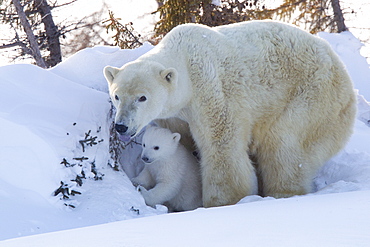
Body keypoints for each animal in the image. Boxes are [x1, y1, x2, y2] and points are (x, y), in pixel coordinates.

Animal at [104, 20, 356, 206]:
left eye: (142, 97)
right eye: (117, 96)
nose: (121, 126)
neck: (184, 58)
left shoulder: (209, 88)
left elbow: (221, 143)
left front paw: (223, 201)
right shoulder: (174, 113)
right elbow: (180, 140)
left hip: (312, 95)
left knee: (284, 144)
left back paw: (282, 192)